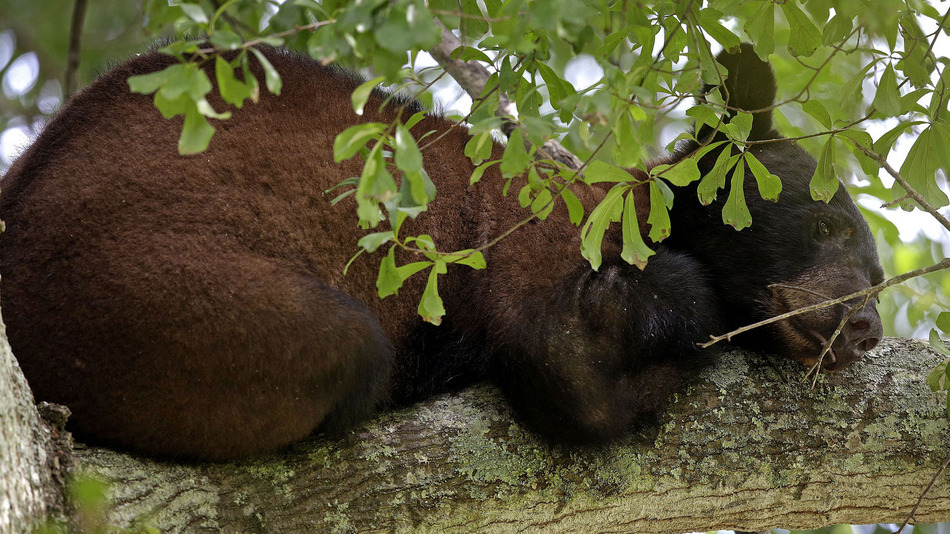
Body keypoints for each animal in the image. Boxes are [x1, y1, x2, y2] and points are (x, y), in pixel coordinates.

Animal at [0, 44, 884, 462]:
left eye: (879, 274)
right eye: (827, 226)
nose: (869, 322)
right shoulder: (533, 247)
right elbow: (570, 369)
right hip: (126, 285)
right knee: (346, 348)